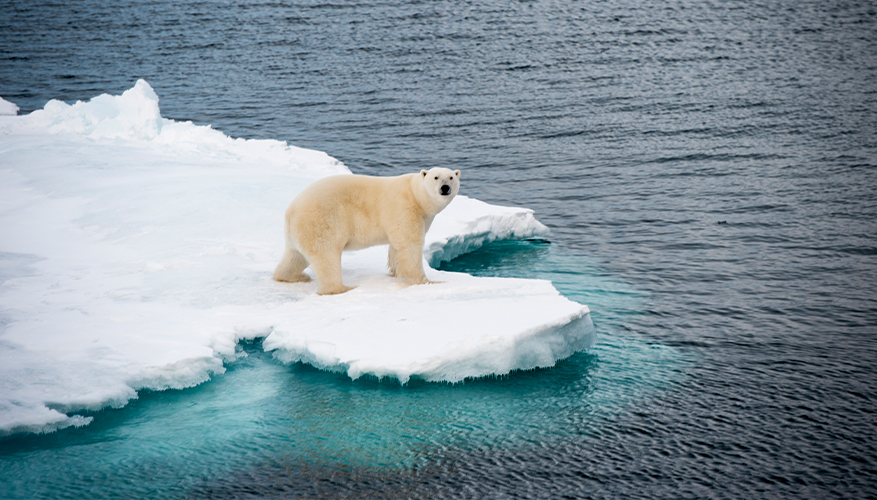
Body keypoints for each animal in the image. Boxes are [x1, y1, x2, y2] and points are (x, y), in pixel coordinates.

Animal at [273, 167, 461, 295]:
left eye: (451, 177)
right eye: (436, 177)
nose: (445, 187)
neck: (415, 194)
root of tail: (290, 211)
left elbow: (396, 247)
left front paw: (395, 272)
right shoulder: (404, 208)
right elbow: (410, 245)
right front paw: (427, 282)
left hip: (298, 231)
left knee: (295, 257)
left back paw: (294, 277)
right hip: (320, 222)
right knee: (326, 256)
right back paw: (343, 288)